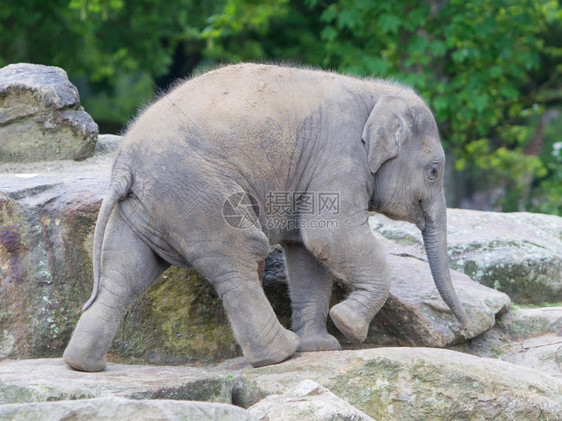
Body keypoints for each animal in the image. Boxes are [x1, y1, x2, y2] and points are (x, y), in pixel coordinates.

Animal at [61, 63, 466, 370]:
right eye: (434, 171)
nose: (461, 327)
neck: (375, 91)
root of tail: (124, 166)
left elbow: (307, 252)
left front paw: (320, 347)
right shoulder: (338, 159)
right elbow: (327, 235)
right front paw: (347, 327)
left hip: (144, 208)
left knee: (125, 272)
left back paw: (83, 364)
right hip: (201, 197)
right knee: (239, 258)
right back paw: (280, 353)